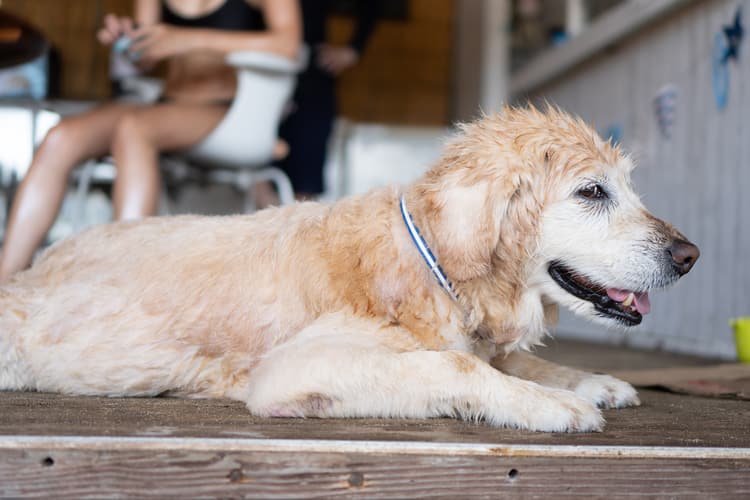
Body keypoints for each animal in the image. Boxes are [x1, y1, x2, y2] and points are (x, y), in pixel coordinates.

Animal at [1, 107, 700, 432]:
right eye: (591, 192)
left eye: (626, 187)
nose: (689, 256)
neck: (431, 265)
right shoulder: (293, 369)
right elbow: (457, 365)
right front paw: (552, 403)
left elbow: (507, 358)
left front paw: (588, 380)